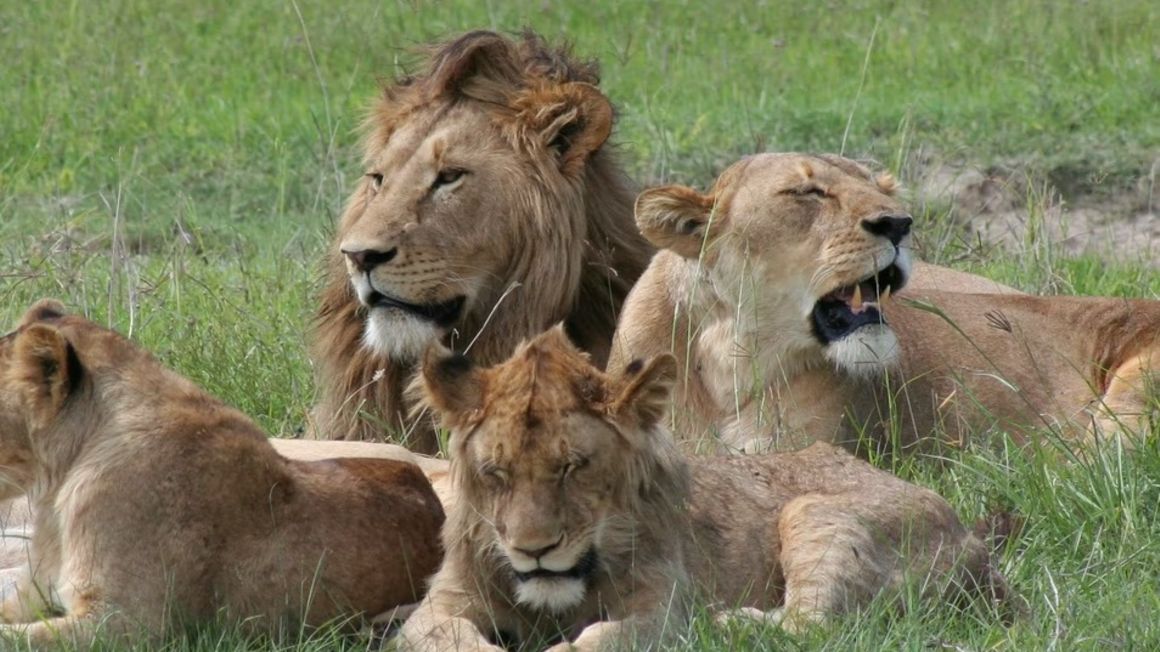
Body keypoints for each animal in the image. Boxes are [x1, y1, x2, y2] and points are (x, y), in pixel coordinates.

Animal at [394, 329, 1002, 649]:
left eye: (573, 467)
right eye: (496, 473)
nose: (534, 550)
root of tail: (974, 540)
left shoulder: (664, 610)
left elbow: (603, 637)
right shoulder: (439, 606)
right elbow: (452, 637)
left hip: (812, 510)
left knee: (812, 625)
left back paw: (733, 623)